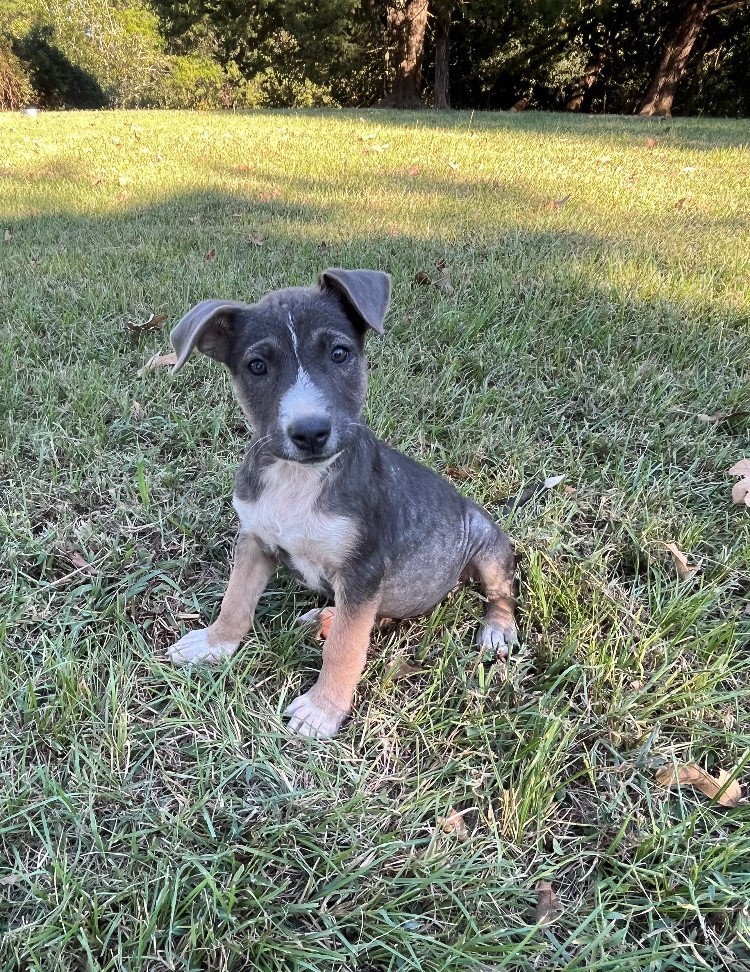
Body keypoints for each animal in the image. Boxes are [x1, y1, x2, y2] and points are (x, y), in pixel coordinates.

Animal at [169, 266, 516, 736]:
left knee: (501, 591)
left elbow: (345, 649)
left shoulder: (363, 570)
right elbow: (236, 599)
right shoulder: (255, 541)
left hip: (486, 542)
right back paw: (324, 617)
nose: (310, 432)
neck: (300, 477)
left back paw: (497, 629)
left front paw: (323, 709)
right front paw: (214, 643)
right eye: (257, 366)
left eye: (339, 353)